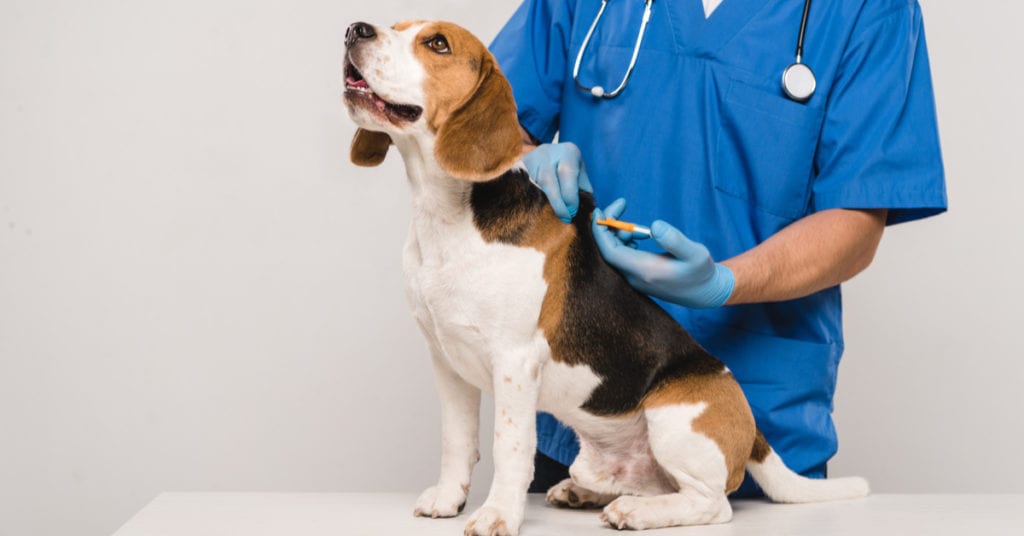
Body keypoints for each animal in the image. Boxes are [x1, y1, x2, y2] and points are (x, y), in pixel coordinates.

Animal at [339, 19, 868, 536]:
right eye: (394, 26)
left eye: (437, 44)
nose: (354, 30)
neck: (447, 213)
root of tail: (752, 427)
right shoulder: (447, 362)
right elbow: (456, 440)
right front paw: (449, 500)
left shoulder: (514, 361)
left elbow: (510, 447)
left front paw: (498, 515)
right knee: (645, 482)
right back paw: (586, 493)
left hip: (675, 422)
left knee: (713, 503)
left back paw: (637, 513)